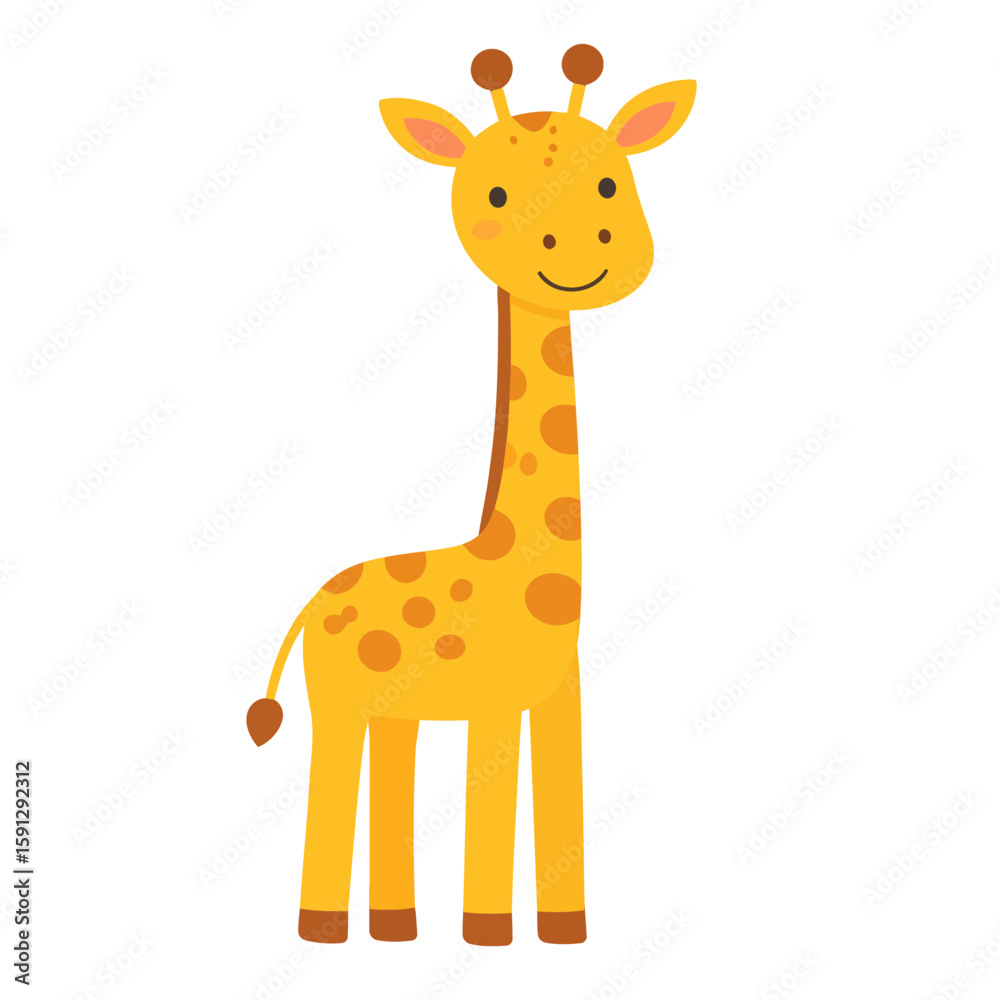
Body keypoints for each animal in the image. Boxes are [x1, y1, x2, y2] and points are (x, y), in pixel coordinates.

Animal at [246, 44, 695, 947]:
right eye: (492, 194)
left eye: (610, 181)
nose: (582, 253)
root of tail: (312, 604)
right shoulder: (493, 700)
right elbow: (491, 814)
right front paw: (488, 931)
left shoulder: (560, 695)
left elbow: (561, 805)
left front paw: (565, 933)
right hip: (335, 703)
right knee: (331, 775)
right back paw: (324, 929)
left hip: (394, 709)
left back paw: (394, 927)